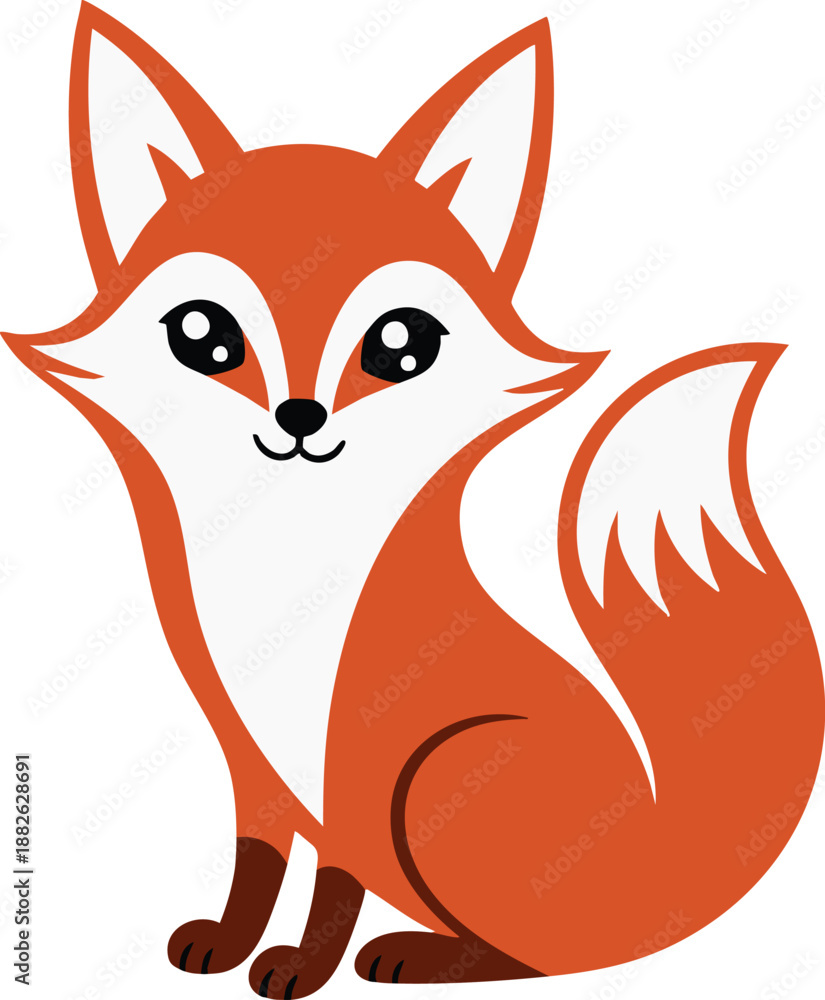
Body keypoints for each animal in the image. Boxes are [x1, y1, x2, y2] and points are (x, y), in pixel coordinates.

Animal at [3, 4, 824, 998]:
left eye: (401, 344)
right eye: (203, 334)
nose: (300, 415)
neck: (286, 583)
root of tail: (672, 857)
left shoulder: (355, 771)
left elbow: (334, 882)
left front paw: (301, 966)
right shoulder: (252, 762)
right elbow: (257, 861)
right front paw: (228, 944)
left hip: (447, 770)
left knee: (541, 959)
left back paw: (421, 956)